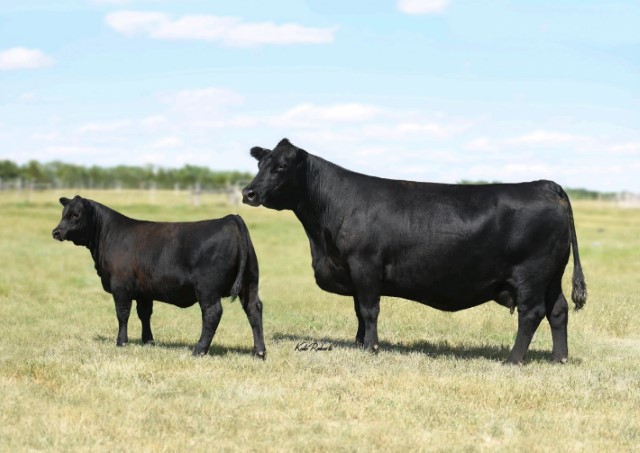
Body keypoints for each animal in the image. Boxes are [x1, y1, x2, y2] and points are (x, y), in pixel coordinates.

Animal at [51, 196, 268, 358]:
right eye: (63, 213)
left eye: (76, 215)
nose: (56, 232)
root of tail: (230, 218)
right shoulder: (143, 291)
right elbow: (144, 314)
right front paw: (148, 341)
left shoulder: (120, 286)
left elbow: (122, 314)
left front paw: (121, 342)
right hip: (250, 282)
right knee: (253, 309)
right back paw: (259, 352)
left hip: (207, 288)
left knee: (212, 313)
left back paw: (199, 350)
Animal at [242, 138, 588, 364]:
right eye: (260, 164)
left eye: (281, 166)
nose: (249, 192)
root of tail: (545, 185)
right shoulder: (354, 272)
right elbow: (358, 311)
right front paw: (359, 343)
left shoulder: (365, 264)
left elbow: (369, 309)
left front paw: (371, 348)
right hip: (551, 275)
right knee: (558, 310)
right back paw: (559, 358)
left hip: (531, 275)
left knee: (532, 313)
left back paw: (513, 359)